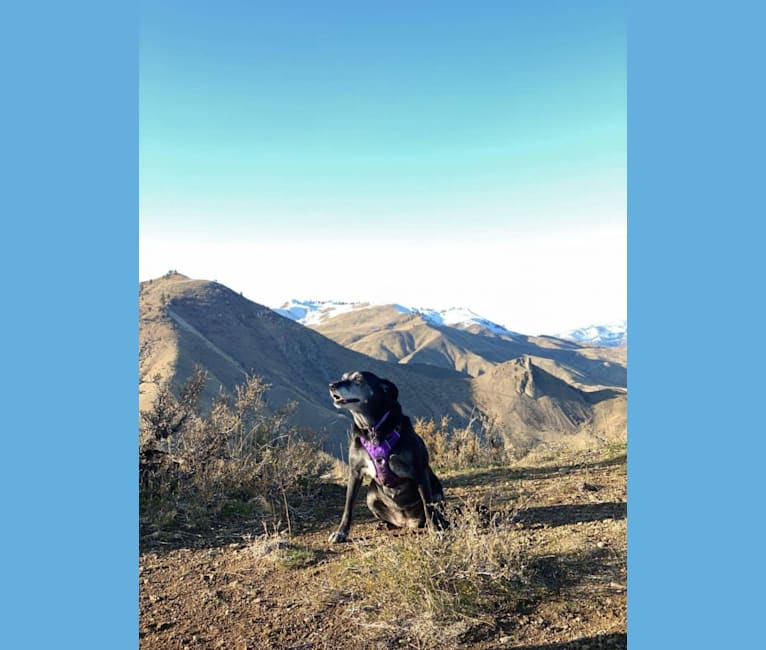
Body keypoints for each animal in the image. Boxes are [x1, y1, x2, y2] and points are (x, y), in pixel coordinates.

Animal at [328, 370, 448, 540]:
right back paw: (383, 524)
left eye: (358, 379)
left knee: (436, 509)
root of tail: (406, 522)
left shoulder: (419, 472)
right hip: (371, 497)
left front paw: (436, 530)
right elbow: (348, 506)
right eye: (343, 377)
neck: (373, 430)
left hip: (437, 490)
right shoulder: (355, 472)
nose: (332, 385)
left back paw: (441, 523)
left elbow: (427, 505)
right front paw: (341, 532)